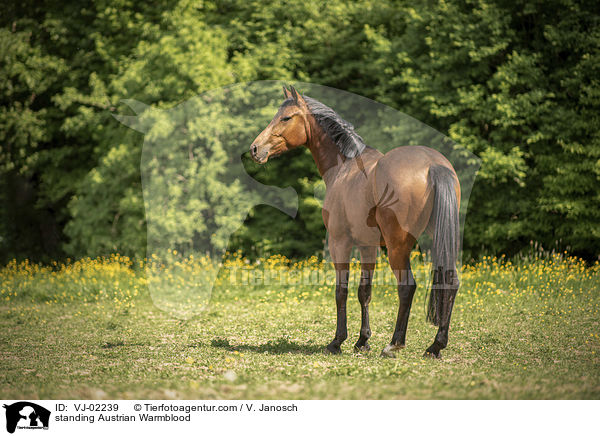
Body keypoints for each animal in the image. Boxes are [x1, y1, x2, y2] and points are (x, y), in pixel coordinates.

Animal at [248, 84, 460, 358]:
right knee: (450, 282)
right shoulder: (367, 246)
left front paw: (337, 341)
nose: (255, 149)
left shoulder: (340, 242)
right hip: (438, 239)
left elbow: (342, 291)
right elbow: (364, 292)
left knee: (407, 287)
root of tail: (433, 165)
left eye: (285, 118)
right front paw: (362, 340)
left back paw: (395, 343)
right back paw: (435, 346)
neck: (345, 166)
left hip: (398, 247)